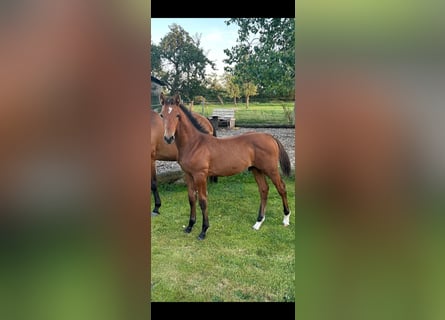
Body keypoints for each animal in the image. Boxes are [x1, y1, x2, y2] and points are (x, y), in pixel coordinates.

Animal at [160, 92, 292, 240]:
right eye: (162, 115)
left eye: (177, 115)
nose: (168, 138)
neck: (195, 144)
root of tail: (270, 136)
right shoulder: (188, 175)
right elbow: (191, 199)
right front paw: (189, 226)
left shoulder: (200, 175)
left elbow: (203, 200)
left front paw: (203, 230)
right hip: (256, 169)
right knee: (264, 189)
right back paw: (258, 222)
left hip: (271, 169)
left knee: (281, 188)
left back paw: (286, 219)